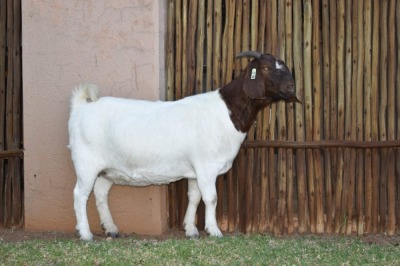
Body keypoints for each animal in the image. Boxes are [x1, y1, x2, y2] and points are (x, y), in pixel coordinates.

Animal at [69, 51, 298, 240]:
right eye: (266, 67)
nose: (291, 88)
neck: (227, 111)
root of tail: (81, 106)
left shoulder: (194, 171)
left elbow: (194, 198)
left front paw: (191, 230)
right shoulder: (206, 166)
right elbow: (211, 198)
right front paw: (214, 231)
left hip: (107, 170)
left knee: (100, 194)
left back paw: (111, 229)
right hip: (86, 164)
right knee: (80, 195)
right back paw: (86, 234)